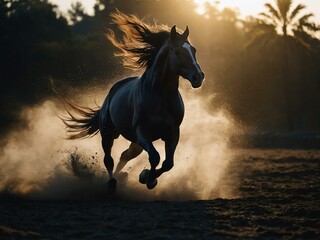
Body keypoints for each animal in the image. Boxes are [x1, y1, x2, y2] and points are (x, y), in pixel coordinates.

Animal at [60, 11, 205, 191]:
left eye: (194, 49)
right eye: (177, 52)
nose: (198, 77)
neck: (160, 96)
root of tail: (112, 92)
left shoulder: (172, 133)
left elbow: (168, 163)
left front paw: (147, 177)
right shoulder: (142, 132)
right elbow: (155, 157)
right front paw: (148, 178)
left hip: (135, 142)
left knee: (125, 155)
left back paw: (122, 176)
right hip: (108, 133)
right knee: (109, 159)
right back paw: (112, 182)